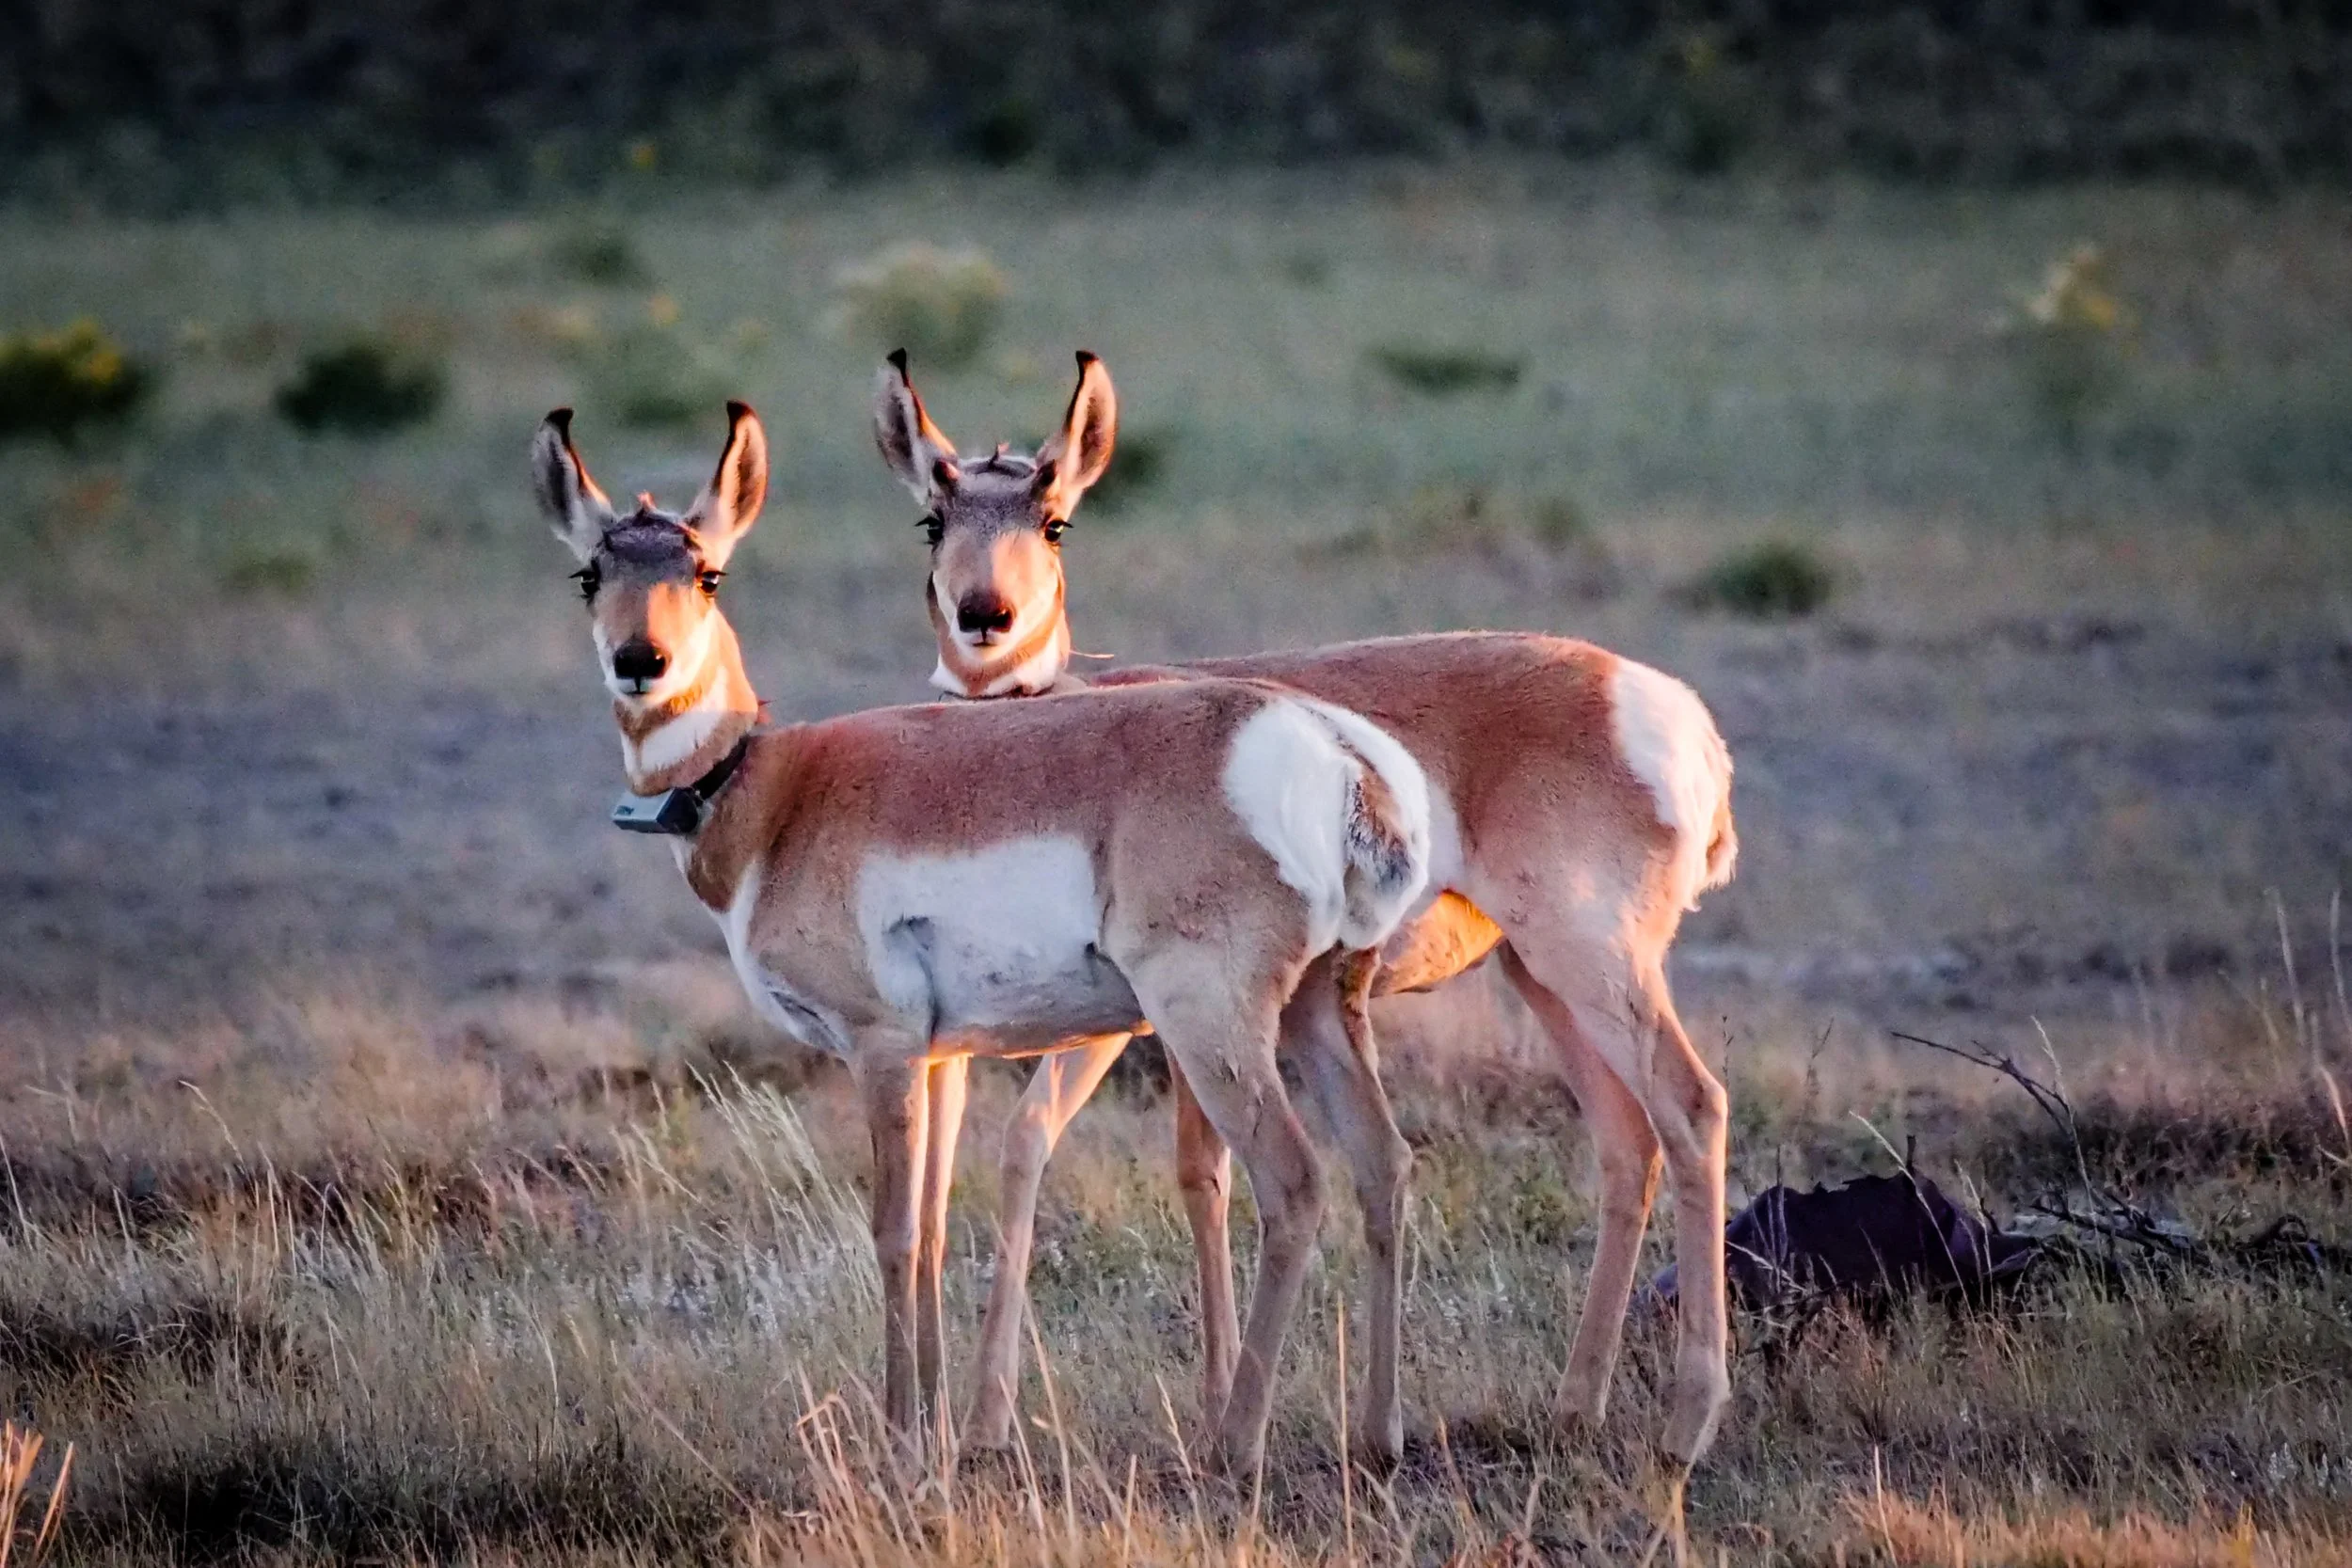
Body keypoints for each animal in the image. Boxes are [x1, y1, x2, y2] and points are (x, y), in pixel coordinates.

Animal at [532, 400, 1437, 1477]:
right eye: (591, 573)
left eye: (706, 572)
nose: (641, 664)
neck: (779, 787)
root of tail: (1327, 743)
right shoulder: (938, 1058)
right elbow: (929, 1227)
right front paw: (932, 1430)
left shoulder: (880, 1046)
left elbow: (889, 1229)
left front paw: (896, 1440)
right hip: (1318, 1011)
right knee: (1384, 1163)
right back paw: (1380, 1432)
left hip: (1208, 1024)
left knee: (1295, 1183)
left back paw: (1231, 1444)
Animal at [872, 351, 1741, 1472]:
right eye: (933, 517)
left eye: (1053, 518)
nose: (986, 616)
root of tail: (1654, 700)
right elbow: (1165, 1174)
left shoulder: (1128, 1015)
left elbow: (1027, 1146)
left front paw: (985, 1421)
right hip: (1543, 979)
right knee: (1630, 1142)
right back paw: (1571, 1409)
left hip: (1589, 967)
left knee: (1693, 1106)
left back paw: (1685, 1422)